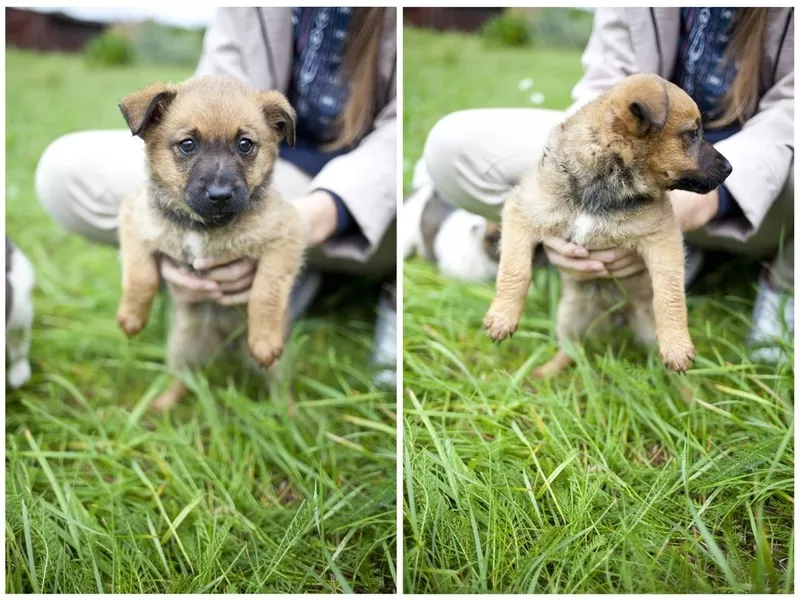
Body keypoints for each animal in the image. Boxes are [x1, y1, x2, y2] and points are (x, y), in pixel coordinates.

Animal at [117, 74, 304, 408]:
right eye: (187, 145)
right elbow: (141, 275)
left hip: (277, 365)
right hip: (182, 346)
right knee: (183, 379)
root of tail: (224, 342)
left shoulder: (285, 237)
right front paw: (132, 317)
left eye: (245, 145)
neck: (203, 226)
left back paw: (290, 414)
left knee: (279, 388)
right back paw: (162, 405)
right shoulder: (134, 221)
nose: (220, 195)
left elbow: (266, 292)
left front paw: (264, 339)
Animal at [484, 74, 736, 376]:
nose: (730, 168)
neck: (605, 182)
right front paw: (502, 318)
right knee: (571, 350)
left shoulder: (663, 238)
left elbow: (670, 293)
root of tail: (617, 319)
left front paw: (677, 345)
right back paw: (546, 373)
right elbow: (514, 269)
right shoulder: (522, 211)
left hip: (645, 331)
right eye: (693, 133)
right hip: (568, 317)